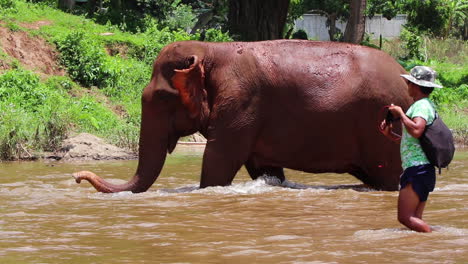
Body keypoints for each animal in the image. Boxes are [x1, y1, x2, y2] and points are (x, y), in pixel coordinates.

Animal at [71, 39, 412, 192]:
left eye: (162, 99)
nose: (76, 176)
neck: (211, 50)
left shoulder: (241, 104)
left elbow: (218, 164)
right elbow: (264, 169)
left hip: (385, 132)